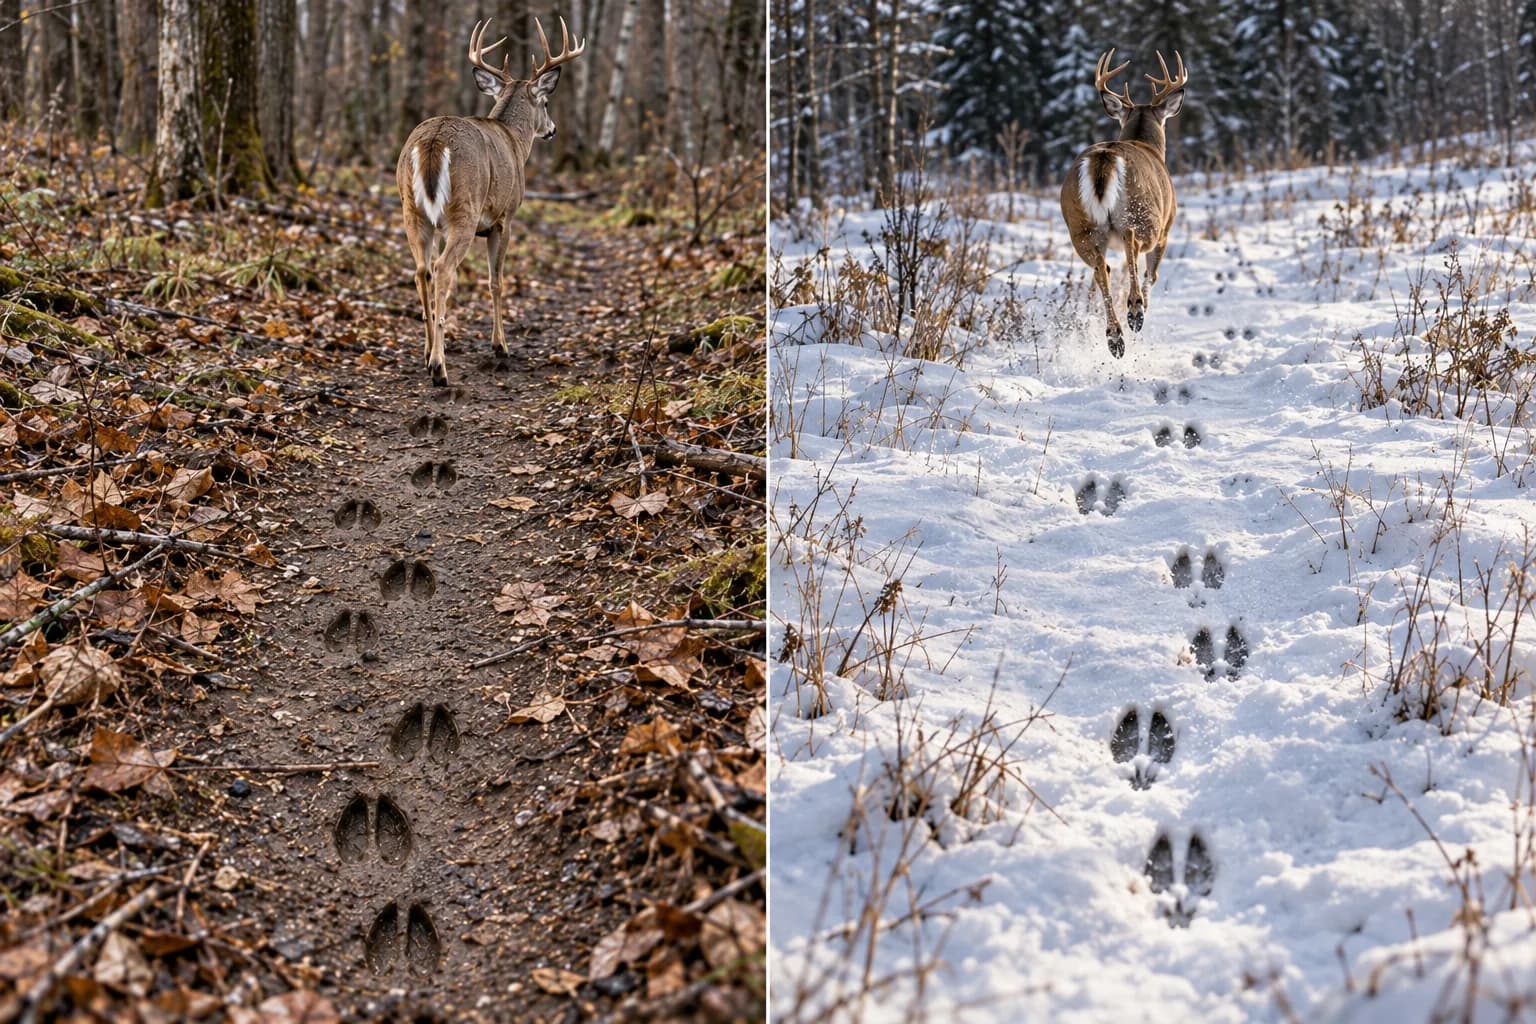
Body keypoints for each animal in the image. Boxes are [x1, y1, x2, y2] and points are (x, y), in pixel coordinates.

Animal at [396, 17, 585, 386]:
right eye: (545, 103)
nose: (552, 129)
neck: (515, 141)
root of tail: (432, 142)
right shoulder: (504, 218)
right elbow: (496, 281)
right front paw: (501, 346)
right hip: (464, 212)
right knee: (442, 269)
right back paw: (439, 368)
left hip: (413, 211)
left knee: (422, 271)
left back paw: (427, 354)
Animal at [1060, 50, 1187, 359]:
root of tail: (1104, 156)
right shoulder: (1166, 231)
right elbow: (1152, 273)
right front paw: (1143, 306)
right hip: (1145, 213)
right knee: (1131, 243)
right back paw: (1135, 312)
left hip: (1079, 225)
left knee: (1100, 268)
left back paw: (1115, 337)